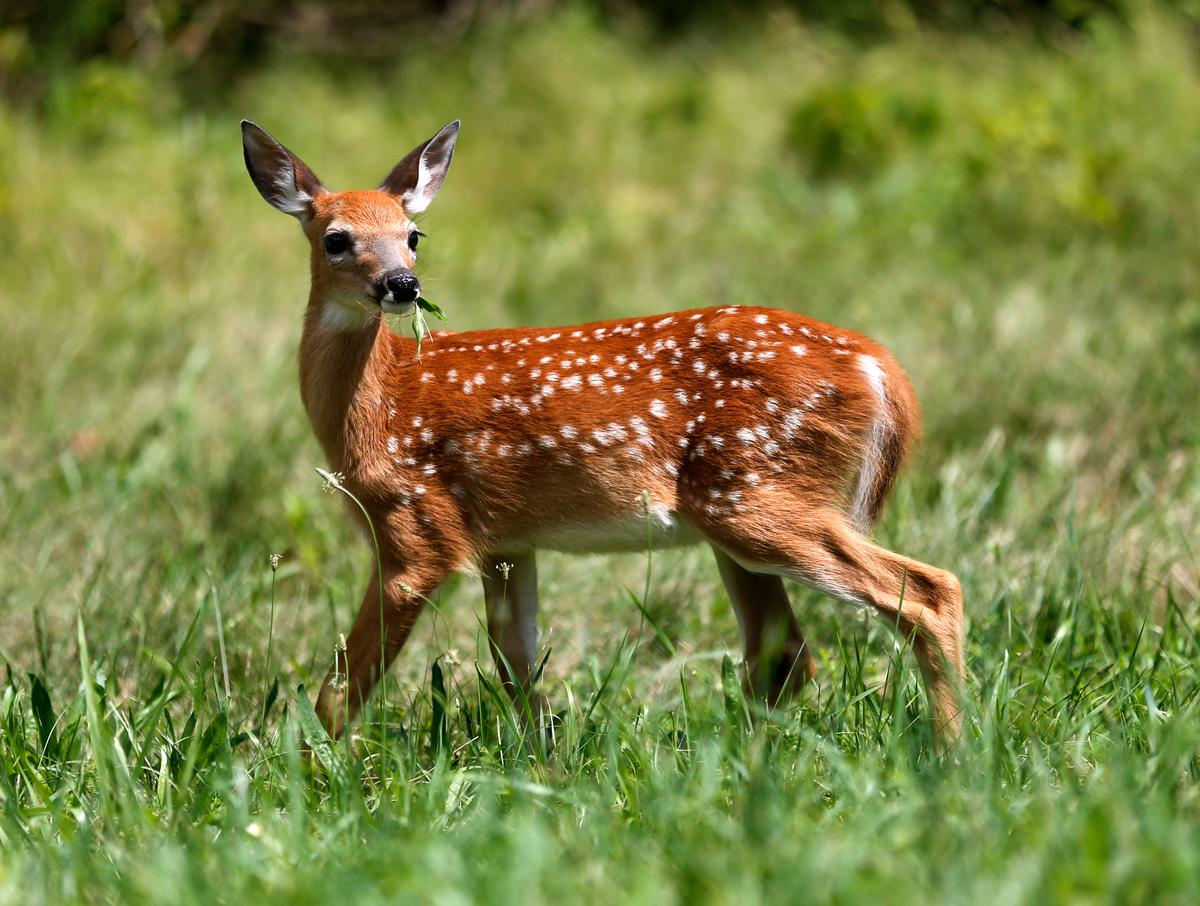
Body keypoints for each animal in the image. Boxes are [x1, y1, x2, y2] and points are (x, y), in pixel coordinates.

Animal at [241, 118, 966, 746]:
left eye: (413, 234)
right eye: (336, 238)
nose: (402, 283)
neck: (381, 403)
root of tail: (879, 365)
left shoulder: (417, 528)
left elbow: (340, 692)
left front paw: (306, 774)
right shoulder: (506, 542)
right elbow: (517, 671)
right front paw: (545, 767)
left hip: (757, 492)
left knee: (928, 593)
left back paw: (951, 754)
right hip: (740, 512)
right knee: (783, 654)